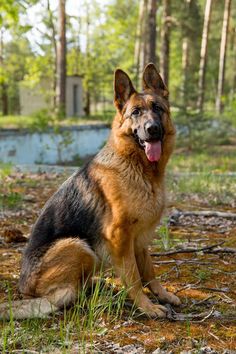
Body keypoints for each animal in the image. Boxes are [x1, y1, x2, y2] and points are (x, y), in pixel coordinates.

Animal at [3, 64, 181, 320]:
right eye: (136, 112)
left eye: (158, 108)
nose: (153, 129)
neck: (139, 168)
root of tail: (24, 289)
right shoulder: (120, 238)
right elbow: (134, 278)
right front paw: (146, 306)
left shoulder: (139, 240)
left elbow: (149, 270)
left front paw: (162, 295)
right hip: (78, 246)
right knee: (64, 296)